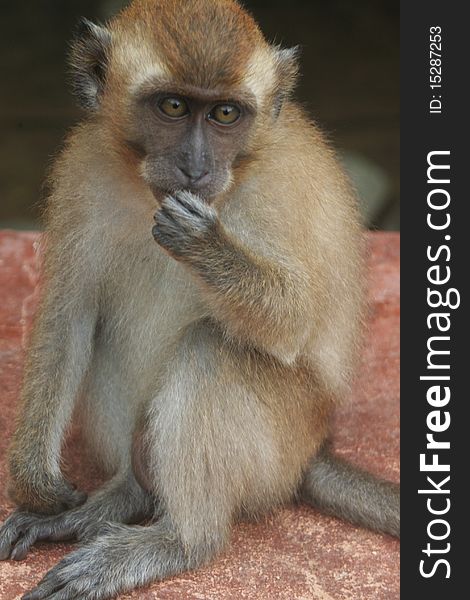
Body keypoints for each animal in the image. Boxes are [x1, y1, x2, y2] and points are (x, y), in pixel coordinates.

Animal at [0, 2, 400, 596]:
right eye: (173, 106)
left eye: (225, 115)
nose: (194, 166)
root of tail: (314, 449)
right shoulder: (83, 169)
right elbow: (68, 317)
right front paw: (37, 485)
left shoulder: (275, 192)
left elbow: (294, 322)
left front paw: (206, 245)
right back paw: (118, 499)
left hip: (282, 439)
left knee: (212, 347)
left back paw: (179, 541)